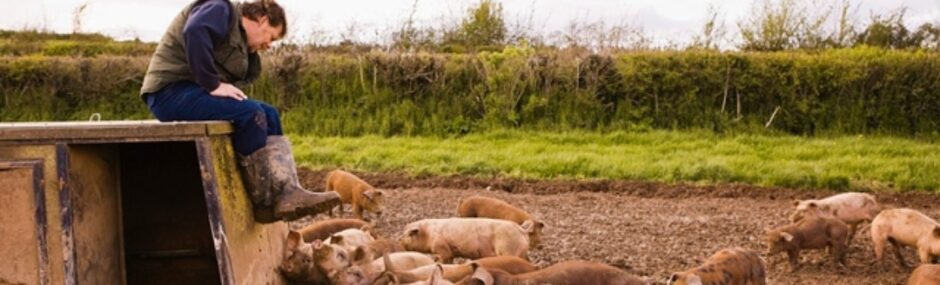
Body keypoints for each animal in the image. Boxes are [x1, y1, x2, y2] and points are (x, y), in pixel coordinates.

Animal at [394, 219, 528, 262]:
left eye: (408, 234)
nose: (398, 240)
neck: (428, 234)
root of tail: (521, 229)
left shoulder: (441, 246)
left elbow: (444, 257)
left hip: (508, 248)